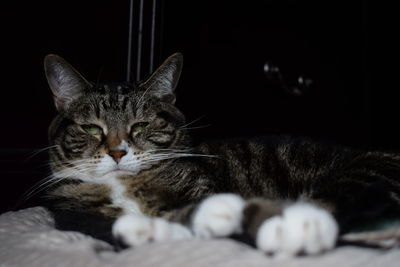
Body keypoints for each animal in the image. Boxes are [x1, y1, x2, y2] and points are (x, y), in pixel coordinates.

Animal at [41, 52, 400, 258]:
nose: (117, 152)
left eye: (140, 125)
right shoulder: (77, 216)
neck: (126, 187)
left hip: (361, 173)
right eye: (91, 129)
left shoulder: (199, 190)